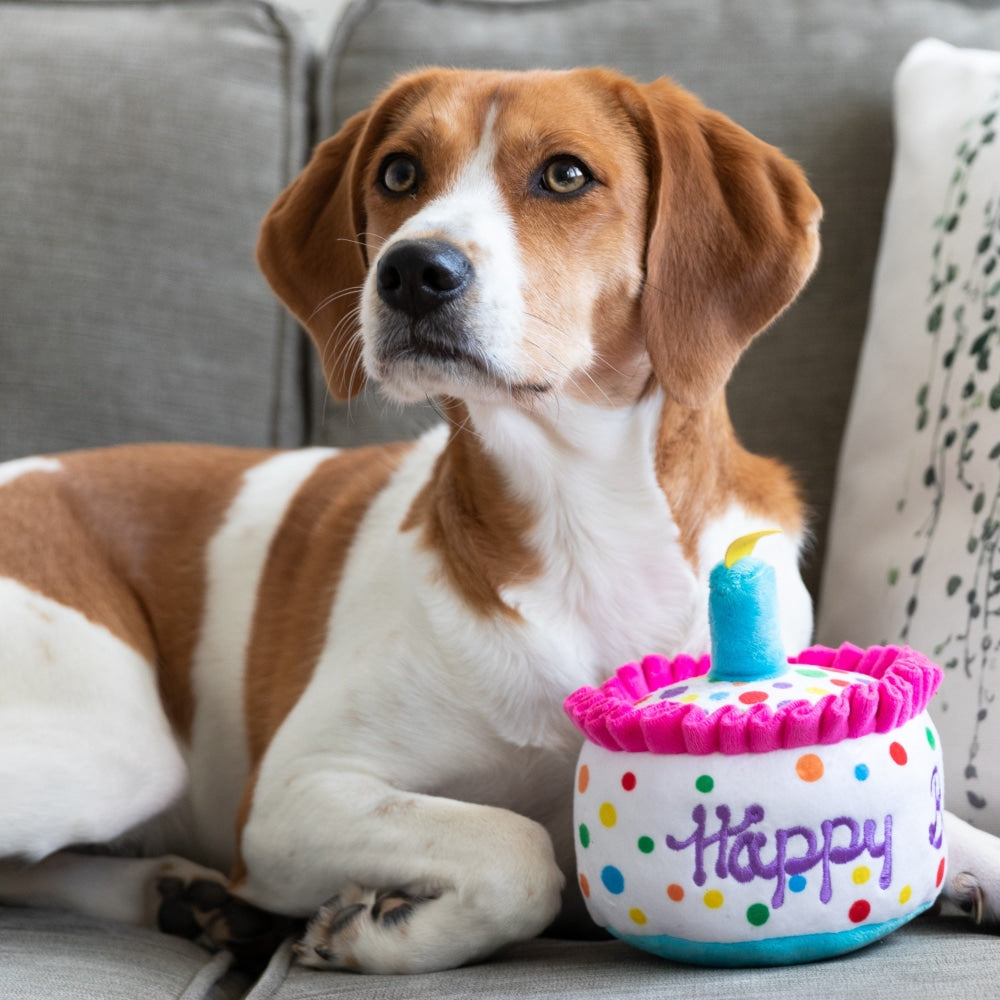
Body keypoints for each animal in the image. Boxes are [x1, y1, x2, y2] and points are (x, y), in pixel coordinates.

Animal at [1, 66, 1000, 972]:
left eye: (564, 174)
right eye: (400, 173)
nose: (412, 270)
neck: (583, 518)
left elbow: (951, 821)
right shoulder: (291, 797)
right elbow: (520, 856)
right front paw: (370, 930)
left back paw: (178, 893)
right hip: (119, 747)